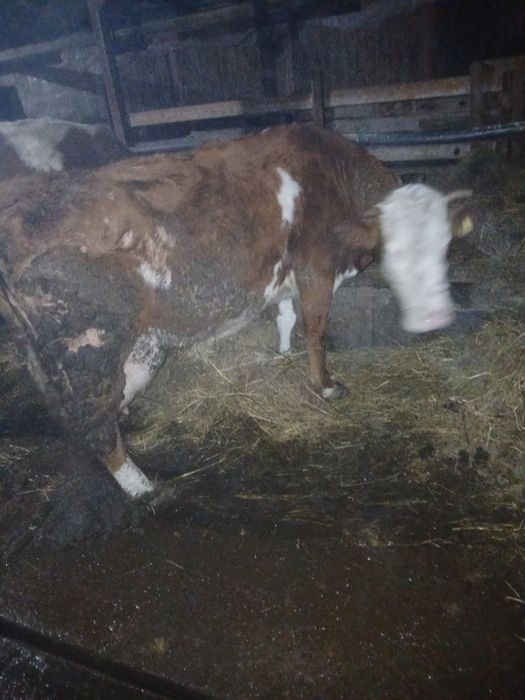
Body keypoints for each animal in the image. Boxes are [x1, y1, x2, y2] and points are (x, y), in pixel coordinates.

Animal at [0, 124, 470, 498]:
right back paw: (142, 487)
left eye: (444, 246)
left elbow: (285, 317)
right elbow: (315, 330)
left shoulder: (283, 275)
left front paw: (281, 353)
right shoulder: (317, 270)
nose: (437, 318)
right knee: (92, 419)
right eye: (399, 251)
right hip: (86, 346)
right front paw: (326, 386)